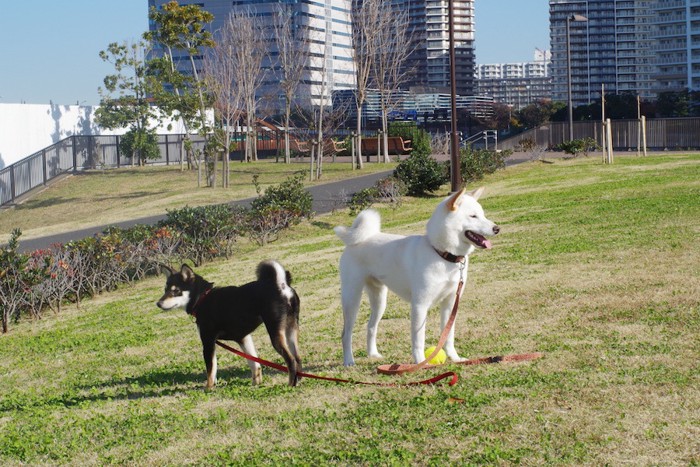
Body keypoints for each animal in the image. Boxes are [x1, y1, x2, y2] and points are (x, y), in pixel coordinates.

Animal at [157, 262, 302, 390]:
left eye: (176, 291)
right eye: (165, 290)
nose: (158, 303)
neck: (202, 298)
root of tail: (281, 285)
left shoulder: (208, 342)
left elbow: (211, 369)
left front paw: (208, 388)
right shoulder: (243, 338)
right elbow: (254, 363)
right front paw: (256, 384)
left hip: (275, 333)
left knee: (291, 360)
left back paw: (290, 384)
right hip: (291, 330)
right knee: (297, 358)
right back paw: (298, 379)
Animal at [334, 186, 498, 366]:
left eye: (483, 214)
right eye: (473, 216)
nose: (497, 228)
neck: (442, 254)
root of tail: (358, 239)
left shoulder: (450, 304)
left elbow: (448, 336)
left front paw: (454, 358)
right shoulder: (420, 305)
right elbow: (419, 339)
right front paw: (420, 363)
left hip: (379, 301)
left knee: (370, 327)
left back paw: (373, 354)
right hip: (352, 300)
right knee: (346, 334)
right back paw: (349, 361)